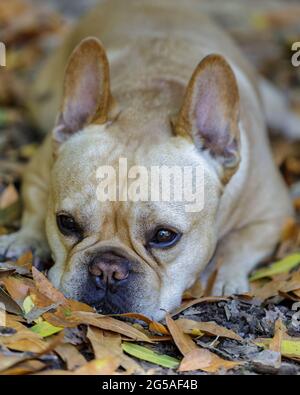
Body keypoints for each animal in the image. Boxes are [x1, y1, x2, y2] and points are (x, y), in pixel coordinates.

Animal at [0, 0, 296, 320]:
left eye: (164, 235)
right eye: (66, 223)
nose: (107, 268)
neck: (149, 103)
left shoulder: (274, 213)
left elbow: (241, 243)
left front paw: (224, 275)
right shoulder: (37, 172)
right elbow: (34, 207)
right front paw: (27, 239)